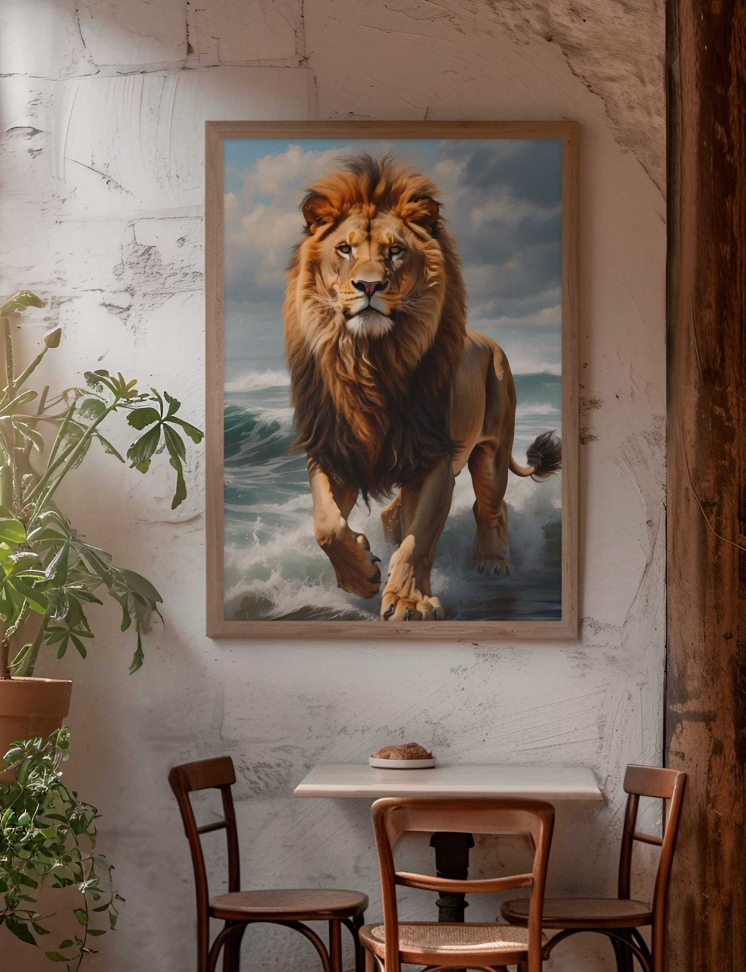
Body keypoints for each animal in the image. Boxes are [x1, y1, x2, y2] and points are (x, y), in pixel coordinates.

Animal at [283, 154, 561, 621]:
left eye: (395, 251)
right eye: (345, 249)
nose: (369, 285)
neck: (369, 362)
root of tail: (492, 343)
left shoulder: (432, 457)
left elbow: (421, 538)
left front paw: (408, 599)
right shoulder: (332, 450)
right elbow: (326, 526)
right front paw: (361, 575)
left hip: (490, 453)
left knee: (492, 507)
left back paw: (493, 563)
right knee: (393, 513)